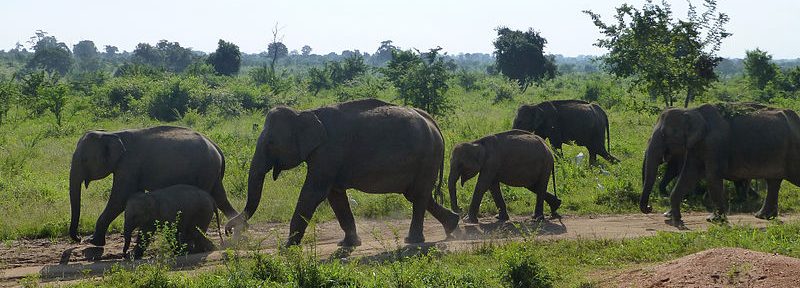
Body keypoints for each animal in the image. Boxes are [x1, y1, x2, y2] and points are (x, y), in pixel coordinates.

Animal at [68, 125, 238, 246]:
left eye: (84, 160)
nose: (79, 238)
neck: (112, 133)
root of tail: (216, 147)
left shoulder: (129, 164)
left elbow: (119, 199)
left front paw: (93, 242)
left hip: (205, 170)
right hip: (212, 172)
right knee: (220, 197)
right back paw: (238, 231)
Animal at [225, 98, 460, 245]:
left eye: (271, 143)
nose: (229, 231)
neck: (305, 113)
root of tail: (433, 122)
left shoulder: (328, 152)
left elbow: (313, 194)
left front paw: (287, 247)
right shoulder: (328, 159)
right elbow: (335, 195)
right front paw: (347, 244)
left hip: (427, 156)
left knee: (418, 196)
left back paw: (413, 240)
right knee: (418, 194)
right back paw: (453, 226)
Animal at [640, 102, 800, 226]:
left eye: (663, 134)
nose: (649, 207)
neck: (692, 110)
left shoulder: (715, 144)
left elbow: (712, 177)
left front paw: (714, 220)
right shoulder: (696, 146)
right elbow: (688, 175)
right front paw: (677, 220)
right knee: (773, 182)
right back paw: (762, 216)